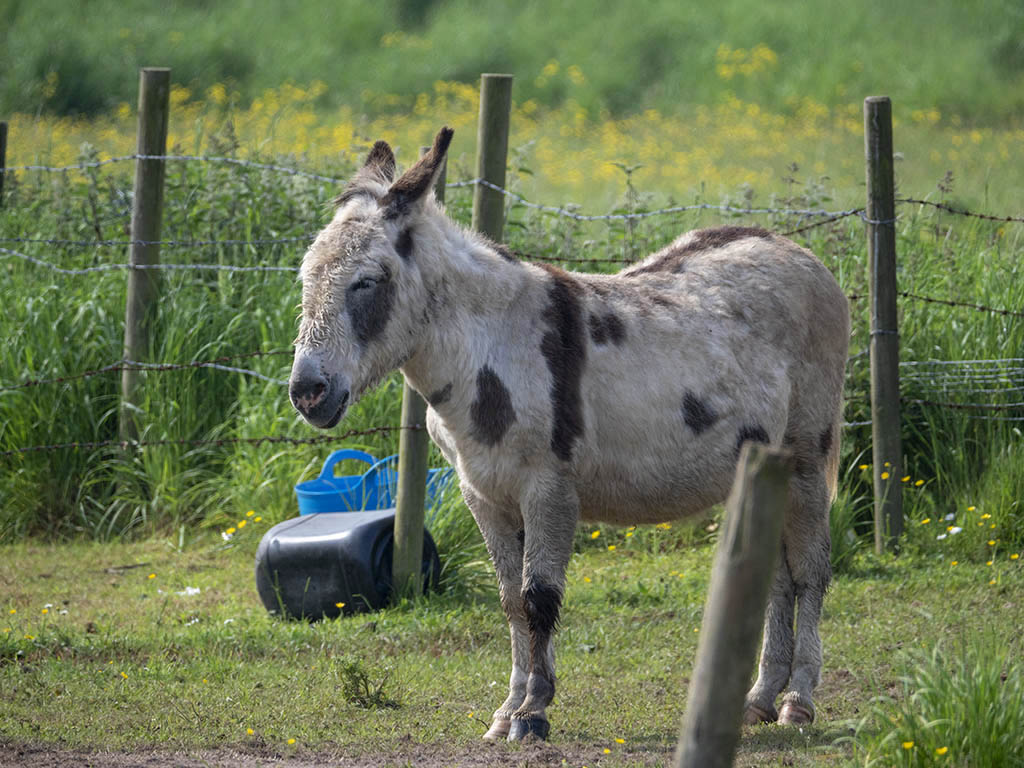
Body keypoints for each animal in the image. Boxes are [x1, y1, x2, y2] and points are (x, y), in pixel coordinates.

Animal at [288, 127, 849, 741]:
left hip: (804, 455)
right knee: (775, 577)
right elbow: (511, 601)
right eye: (305, 280)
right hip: (756, 473)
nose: (306, 392)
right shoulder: (482, 494)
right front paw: (508, 710)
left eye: (366, 282)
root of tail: (791, 248)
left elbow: (540, 597)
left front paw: (533, 712)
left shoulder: (548, 488)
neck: (487, 348)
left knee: (810, 572)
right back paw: (759, 699)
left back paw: (798, 700)